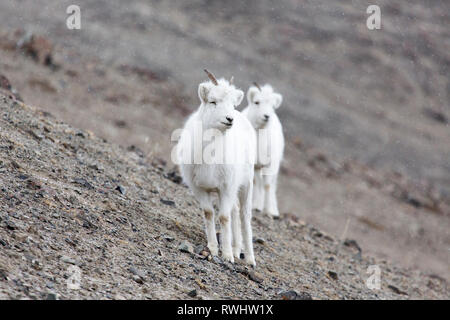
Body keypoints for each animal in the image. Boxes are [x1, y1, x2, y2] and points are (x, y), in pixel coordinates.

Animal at [176, 71, 256, 266]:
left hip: (245, 185)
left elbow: (224, 217)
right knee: (235, 211)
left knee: (244, 216)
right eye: (213, 101)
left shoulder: (226, 189)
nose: (230, 119)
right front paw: (213, 248)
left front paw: (226, 255)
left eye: (233, 104)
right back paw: (236, 250)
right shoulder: (199, 189)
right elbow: (209, 213)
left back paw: (249, 259)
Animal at [243, 83, 284, 218]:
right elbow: (257, 184)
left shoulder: (271, 165)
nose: (267, 116)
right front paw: (256, 207)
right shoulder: (254, 165)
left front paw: (270, 211)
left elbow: (268, 186)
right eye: (257, 102)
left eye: (273, 106)